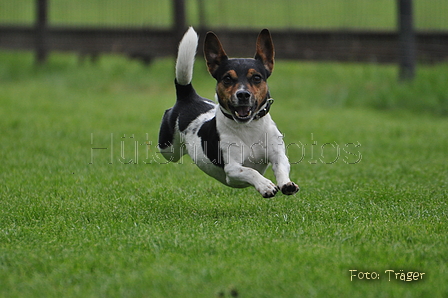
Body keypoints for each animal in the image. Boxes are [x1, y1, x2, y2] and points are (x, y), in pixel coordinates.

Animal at [157, 26, 298, 198]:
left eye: (257, 78)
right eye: (227, 79)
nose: (243, 94)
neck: (248, 128)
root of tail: (189, 96)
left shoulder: (278, 155)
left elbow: (281, 167)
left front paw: (286, 183)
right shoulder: (233, 169)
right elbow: (250, 171)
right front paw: (265, 185)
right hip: (168, 149)